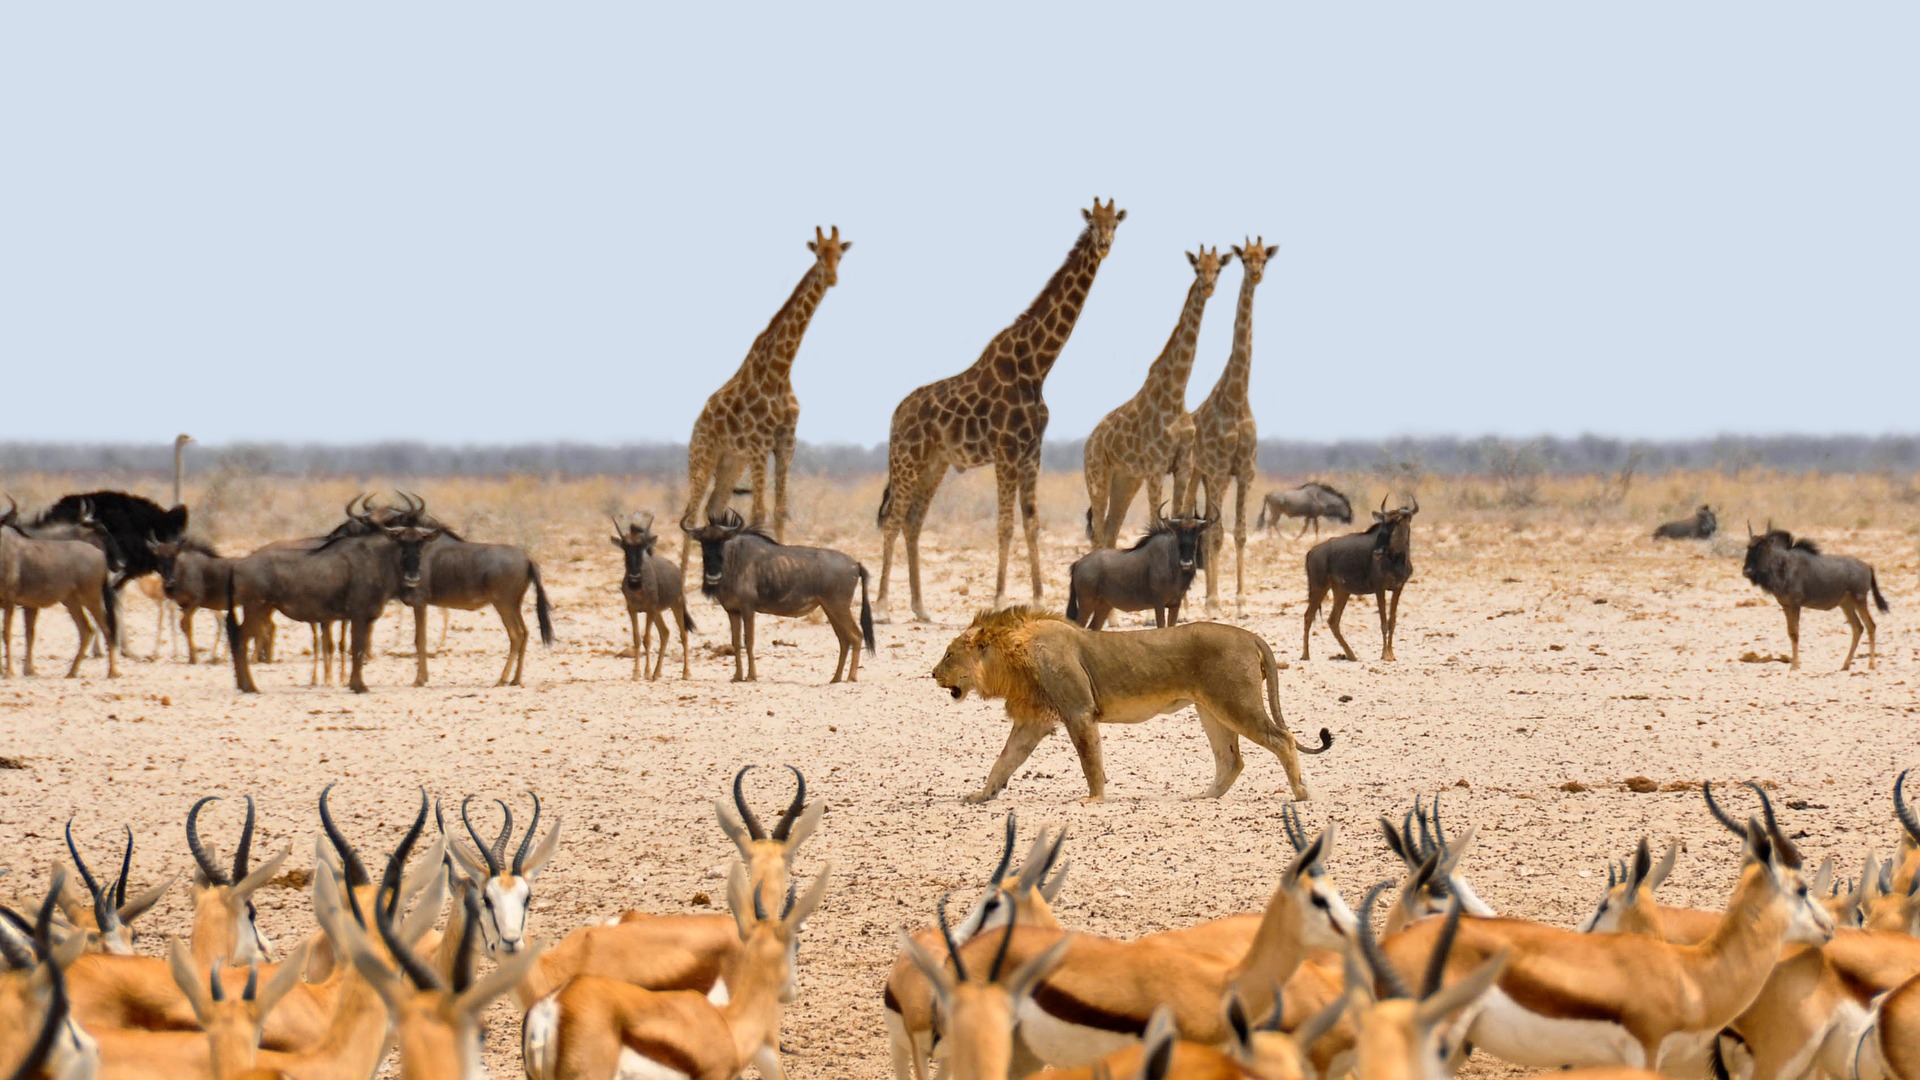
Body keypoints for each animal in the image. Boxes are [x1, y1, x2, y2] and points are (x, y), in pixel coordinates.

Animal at [679, 223, 852, 568]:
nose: (831, 277)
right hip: (703, 456)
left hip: (731, 462)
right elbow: (759, 512)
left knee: (713, 508)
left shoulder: (785, 441)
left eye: (839, 255)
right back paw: (681, 582)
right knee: (689, 515)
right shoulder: (760, 443)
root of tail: (697, 423)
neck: (780, 371)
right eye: (818, 254)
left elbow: (780, 511)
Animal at [879, 200, 1128, 618]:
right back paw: (882, 604)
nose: (1105, 245)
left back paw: (920, 607)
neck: (1037, 366)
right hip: (907, 460)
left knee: (913, 522)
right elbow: (1005, 525)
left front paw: (1040, 597)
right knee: (893, 520)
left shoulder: (1031, 453)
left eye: (1115, 225)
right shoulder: (1006, 451)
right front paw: (998, 597)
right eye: (1093, 224)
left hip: (934, 464)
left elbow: (1032, 524)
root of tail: (896, 415)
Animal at [933, 607, 1336, 799]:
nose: (933, 673)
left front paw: (1094, 799)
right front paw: (982, 794)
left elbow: (1090, 760)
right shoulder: (1034, 721)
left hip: (1235, 703)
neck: (1011, 657)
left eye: (949, 654)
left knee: (1282, 739)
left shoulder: (1079, 711)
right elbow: (1004, 760)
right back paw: (1204, 796)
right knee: (1231, 759)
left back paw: (1301, 793)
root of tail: (1251, 635)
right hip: (1212, 710)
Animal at [1082, 244, 1228, 545]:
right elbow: (1156, 518)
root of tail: (1088, 443)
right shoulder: (1155, 467)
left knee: (1111, 530)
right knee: (1099, 532)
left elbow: (1180, 514)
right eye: (1198, 268)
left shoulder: (1183, 466)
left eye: (1218, 268)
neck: (1176, 394)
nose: (1208, 286)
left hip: (1125, 479)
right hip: (1098, 476)